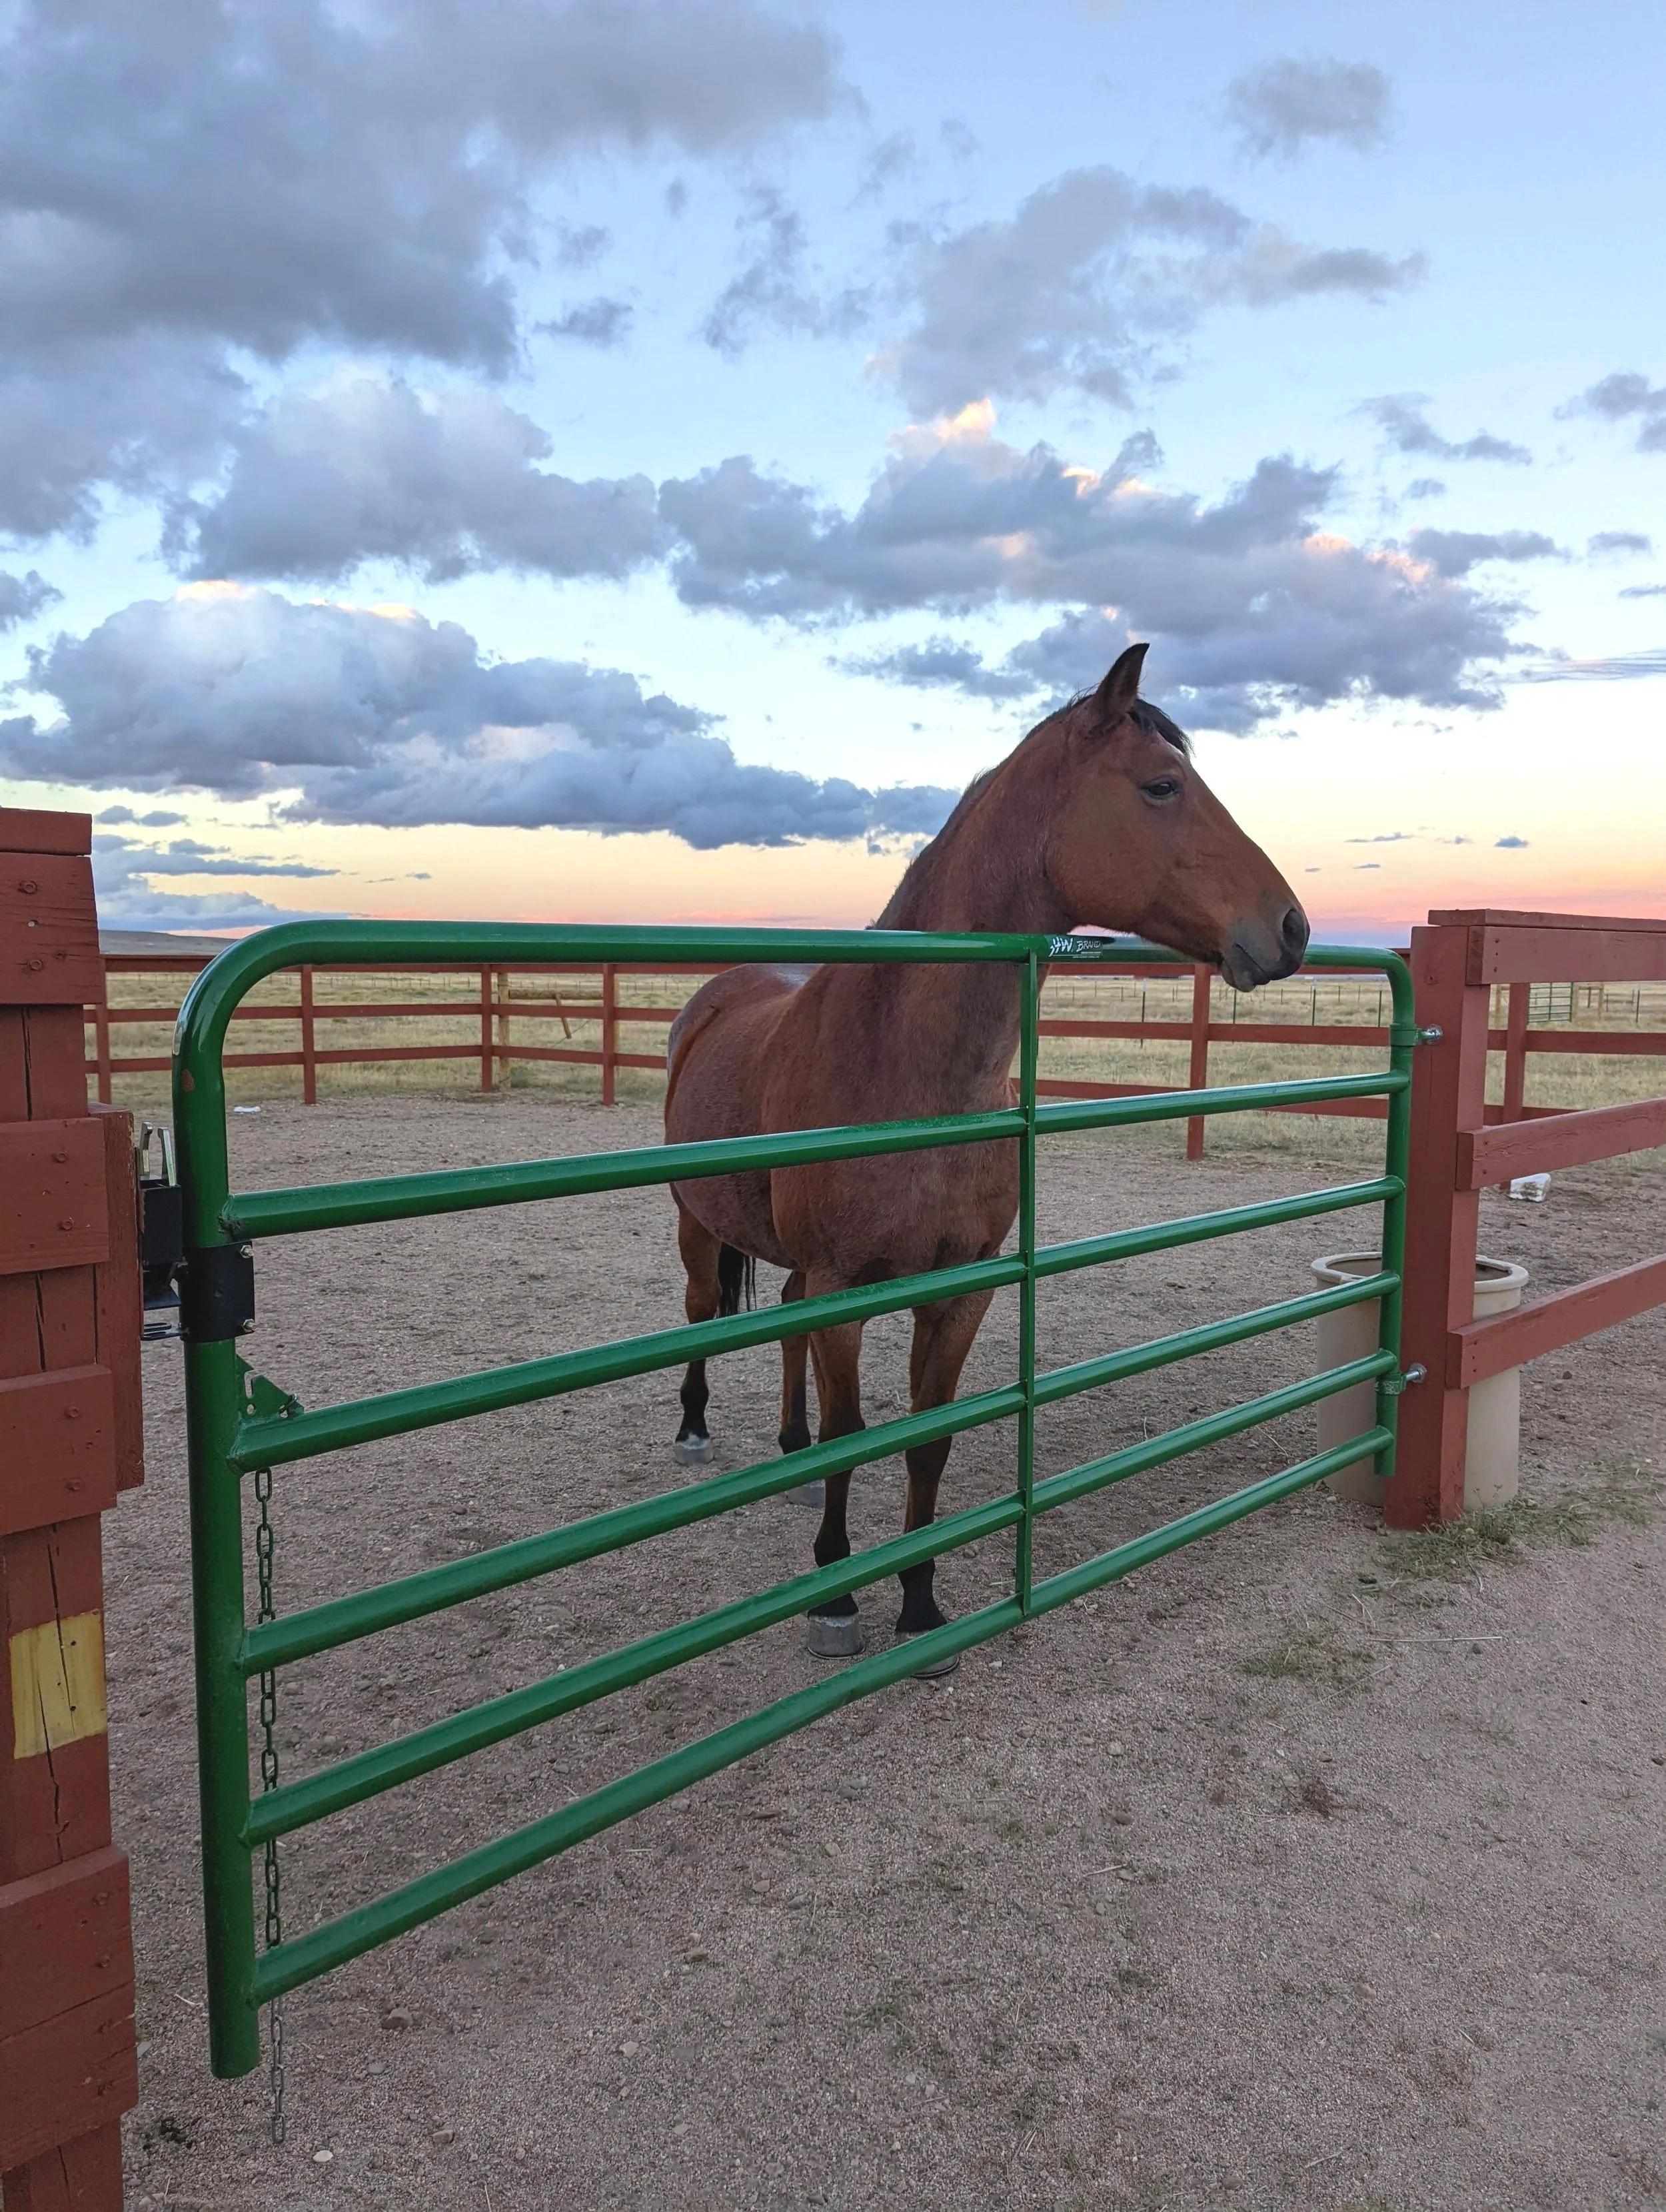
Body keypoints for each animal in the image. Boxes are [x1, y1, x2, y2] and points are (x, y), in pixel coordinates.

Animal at [661, 643, 1307, 1669]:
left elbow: (930, 1439)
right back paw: (694, 1429)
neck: (903, 1073)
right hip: (696, 1221)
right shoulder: (847, 1287)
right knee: (698, 1313)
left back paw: (792, 1454)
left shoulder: (962, 1287)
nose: (1291, 927)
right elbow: (856, 1430)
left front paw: (921, 1601)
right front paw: (835, 1598)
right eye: (1161, 785)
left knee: (789, 1331)